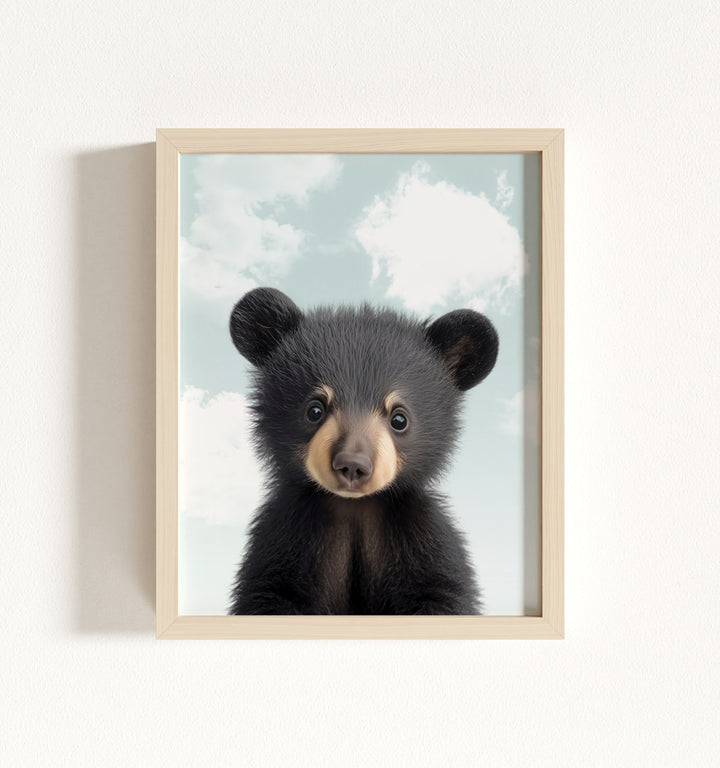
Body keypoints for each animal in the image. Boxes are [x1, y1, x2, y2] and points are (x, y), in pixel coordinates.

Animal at [227, 287, 499, 615]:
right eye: (315, 410)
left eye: (399, 419)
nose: (352, 465)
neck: (354, 507)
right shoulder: (285, 536)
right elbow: (271, 591)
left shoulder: (419, 534)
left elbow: (441, 590)